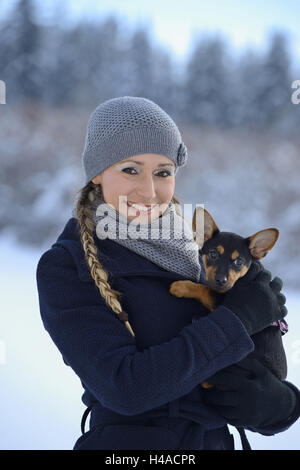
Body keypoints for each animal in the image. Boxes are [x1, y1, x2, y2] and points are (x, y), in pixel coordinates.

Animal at [170, 207, 288, 388]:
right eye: (213, 254)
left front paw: (180, 286)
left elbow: (204, 289)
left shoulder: (219, 300)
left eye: (238, 261)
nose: (221, 280)